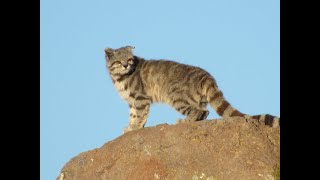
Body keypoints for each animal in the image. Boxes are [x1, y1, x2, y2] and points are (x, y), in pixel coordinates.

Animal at [105, 45, 280, 133]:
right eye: (118, 61)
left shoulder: (140, 98)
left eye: (128, 59)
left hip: (177, 97)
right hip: (197, 99)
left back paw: (183, 121)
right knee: (204, 112)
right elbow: (134, 115)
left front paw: (134, 128)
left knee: (199, 112)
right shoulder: (132, 101)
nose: (126, 65)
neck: (120, 78)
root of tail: (206, 75)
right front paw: (131, 126)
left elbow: (140, 115)